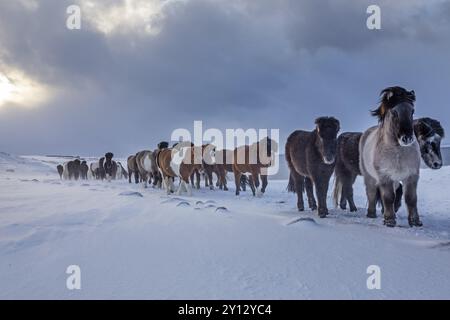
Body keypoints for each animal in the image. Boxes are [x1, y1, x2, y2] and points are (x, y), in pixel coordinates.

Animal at [358, 86, 422, 226]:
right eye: (394, 113)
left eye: (412, 111)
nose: (407, 138)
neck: (398, 153)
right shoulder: (384, 176)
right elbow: (388, 197)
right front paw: (389, 220)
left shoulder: (411, 176)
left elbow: (411, 198)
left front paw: (415, 221)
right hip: (370, 177)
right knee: (371, 193)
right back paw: (372, 214)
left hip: (395, 180)